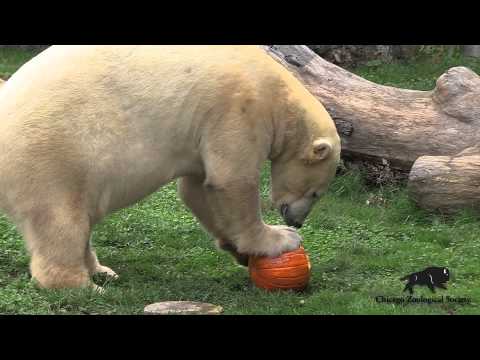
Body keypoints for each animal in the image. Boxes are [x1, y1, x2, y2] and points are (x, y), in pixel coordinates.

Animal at [0, 45, 340, 290]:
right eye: (316, 193)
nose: (297, 222)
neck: (278, 90)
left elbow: (198, 188)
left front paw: (240, 251)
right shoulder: (239, 107)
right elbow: (231, 180)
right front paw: (278, 239)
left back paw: (102, 271)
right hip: (52, 156)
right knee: (61, 222)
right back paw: (83, 286)